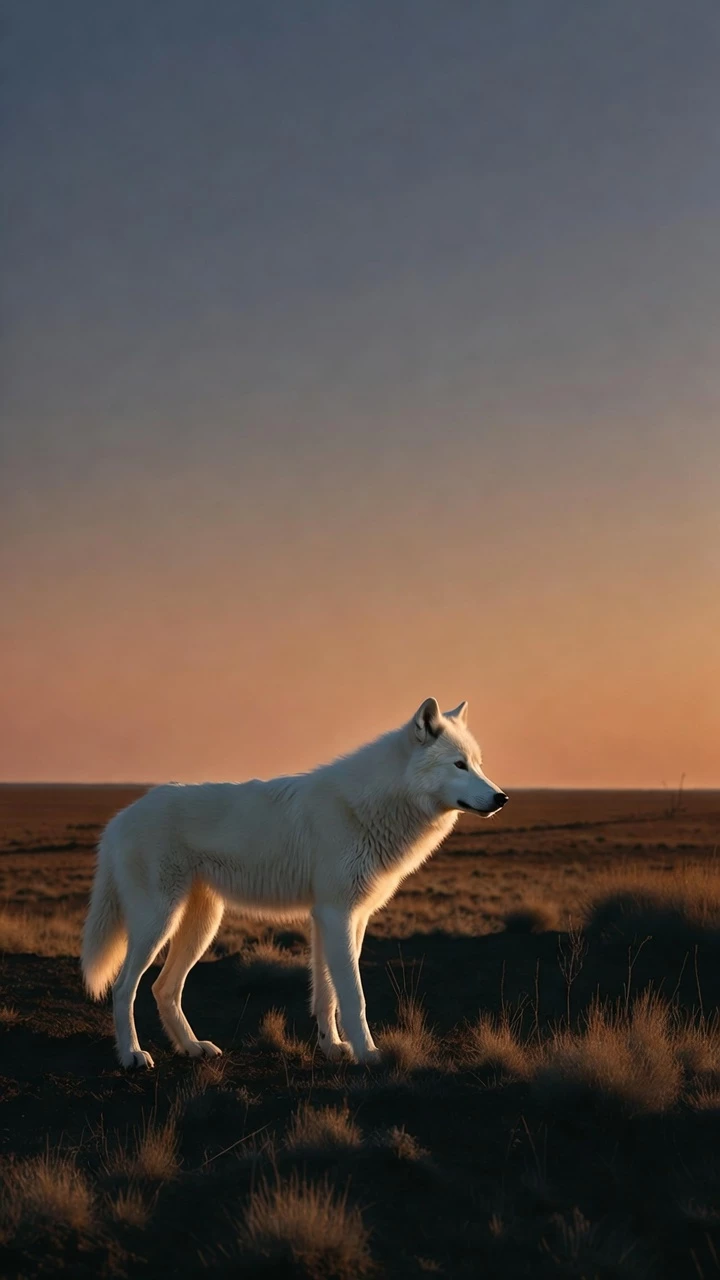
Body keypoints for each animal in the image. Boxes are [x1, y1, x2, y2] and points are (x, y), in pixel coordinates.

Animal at [81, 697, 507, 1068]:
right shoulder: (336, 915)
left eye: (478, 764)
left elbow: (327, 995)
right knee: (124, 987)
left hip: (201, 925)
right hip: (158, 922)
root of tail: (119, 818)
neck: (370, 806)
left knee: (163, 988)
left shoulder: (343, 918)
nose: (502, 797)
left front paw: (333, 1048)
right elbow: (353, 997)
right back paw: (131, 1056)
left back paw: (192, 1047)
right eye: (459, 765)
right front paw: (368, 1054)